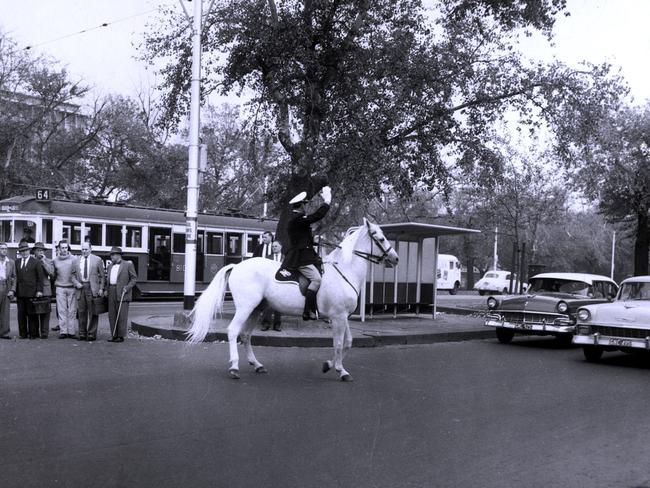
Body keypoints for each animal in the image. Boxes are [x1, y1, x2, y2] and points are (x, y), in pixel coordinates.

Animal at [186, 218, 400, 382]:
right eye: (381, 238)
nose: (395, 258)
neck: (344, 271)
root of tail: (237, 266)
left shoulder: (343, 316)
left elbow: (348, 342)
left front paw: (329, 365)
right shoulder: (338, 317)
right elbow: (339, 344)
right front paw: (341, 371)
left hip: (257, 309)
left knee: (246, 335)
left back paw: (257, 365)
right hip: (246, 308)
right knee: (233, 331)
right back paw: (234, 368)